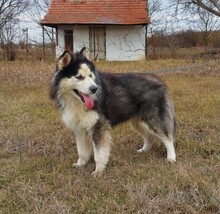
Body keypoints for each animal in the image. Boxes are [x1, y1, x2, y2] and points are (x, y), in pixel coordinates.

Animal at [50, 47, 177, 176]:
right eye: (79, 77)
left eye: (90, 75)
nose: (94, 89)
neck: (77, 102)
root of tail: (159, 80)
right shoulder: (78, 128)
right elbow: (81, 150)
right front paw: (81, 164)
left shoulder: (99, 126)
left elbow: (99, 154)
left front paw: (98, 171)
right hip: (138, 121)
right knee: (149, 136)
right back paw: (144, 150)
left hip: (152, 119)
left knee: (168, 137)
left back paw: (171, 158)